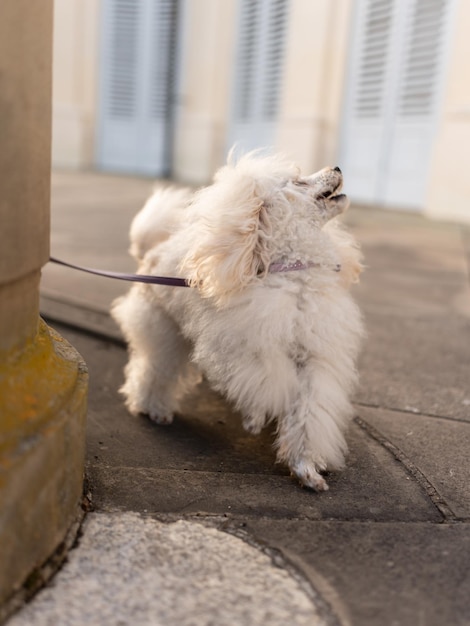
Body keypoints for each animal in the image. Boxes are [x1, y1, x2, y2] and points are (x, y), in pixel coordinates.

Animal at [113, 154, 364, 490]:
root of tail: (151, 251)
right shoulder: (247, 350)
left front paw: (305, 469)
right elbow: (270, 384)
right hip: (163, 329)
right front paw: (256, 417)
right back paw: (153, 409)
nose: (336, 167)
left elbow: (309, 413)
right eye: (298, 182)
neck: (290, 273)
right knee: (156, 368)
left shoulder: (314, 359)